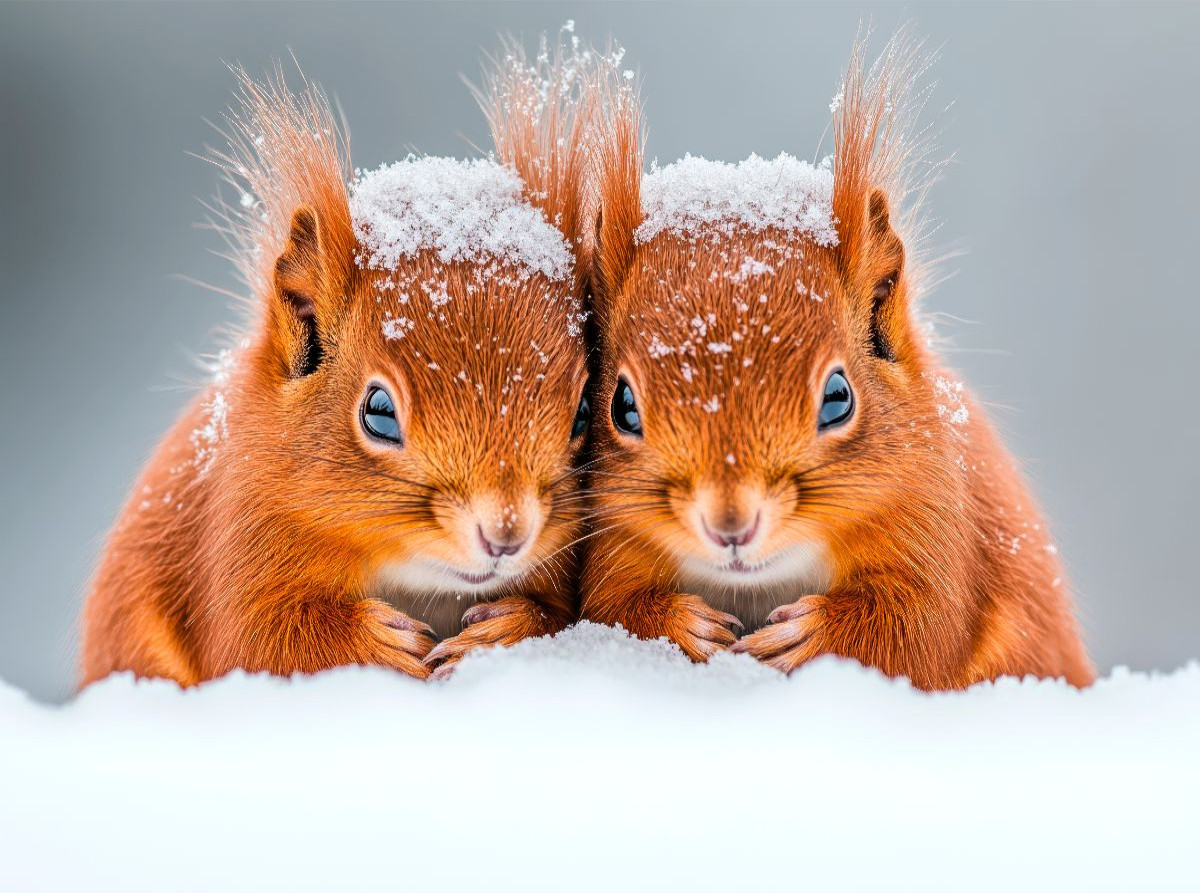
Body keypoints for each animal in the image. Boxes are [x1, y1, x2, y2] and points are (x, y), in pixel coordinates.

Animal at [79, 59, 594, 687]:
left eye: (583, 413)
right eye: (378, 414)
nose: (506, 533)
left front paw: (505, 631)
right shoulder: (240, 538)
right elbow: (258, 643)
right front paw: (377, 643)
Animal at [578, 34, 1095, 689]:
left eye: (838, 398)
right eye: (621, 407)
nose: (730, 526)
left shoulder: (938, 525)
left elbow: (919, 630)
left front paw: (811, 635)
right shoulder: (612, 541)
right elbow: (610, 609)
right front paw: (682, 625)